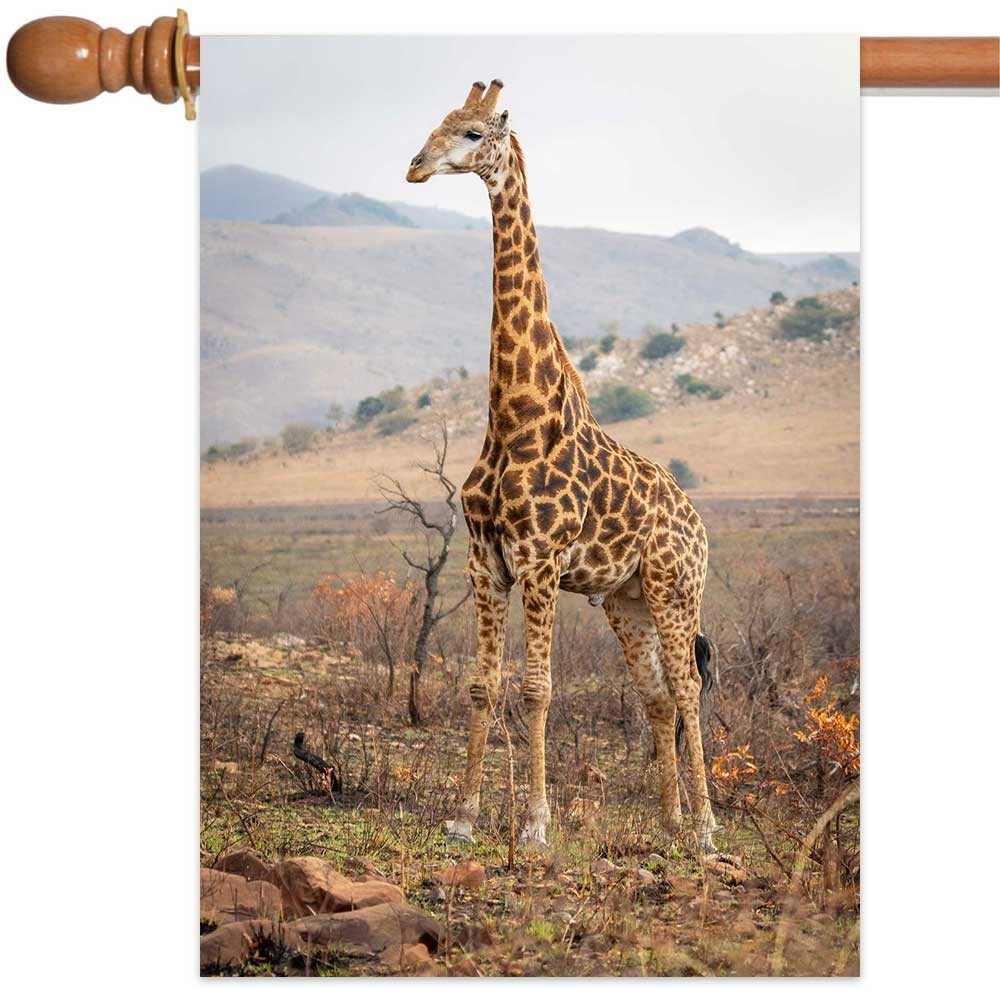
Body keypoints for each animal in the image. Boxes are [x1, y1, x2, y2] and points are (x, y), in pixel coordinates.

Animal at [406, 79, 718, 853]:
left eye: (474, 132)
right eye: (438, 121)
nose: (415, 166)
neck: (515, 416)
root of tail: (700, 525)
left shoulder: (541, 558)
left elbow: (537, 688)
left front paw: (535, 825)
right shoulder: (486, 561)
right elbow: (484, 685)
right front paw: (463, 817)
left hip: (675, 589)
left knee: (689, 689)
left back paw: (705, 828)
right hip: (625, 600)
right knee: (657, 697)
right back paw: (669, 820)